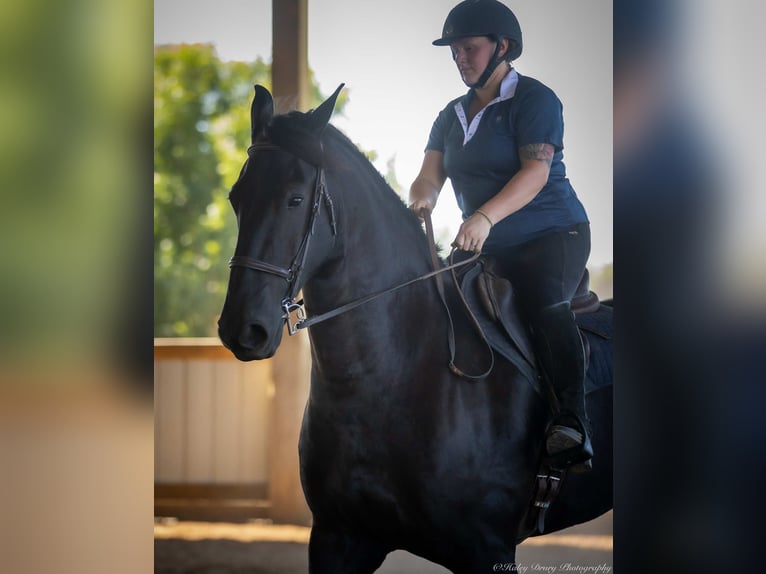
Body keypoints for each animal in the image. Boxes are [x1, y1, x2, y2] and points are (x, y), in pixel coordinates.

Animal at [218, 84, 613, 573]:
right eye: (236, 197)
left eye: (294, 198)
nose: (242, 329)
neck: (392, 375)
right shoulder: (338, 538)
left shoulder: (486, 550)